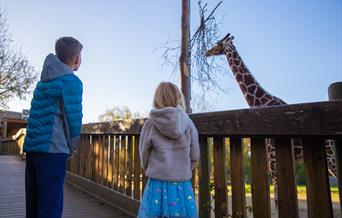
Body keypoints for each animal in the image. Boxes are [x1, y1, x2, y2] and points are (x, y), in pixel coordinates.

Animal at [206, 32, 336, 204]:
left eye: (217, 44)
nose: (206, 52)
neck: (261, 102)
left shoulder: (273, 160)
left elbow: (278, 199)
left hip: (332, 156)